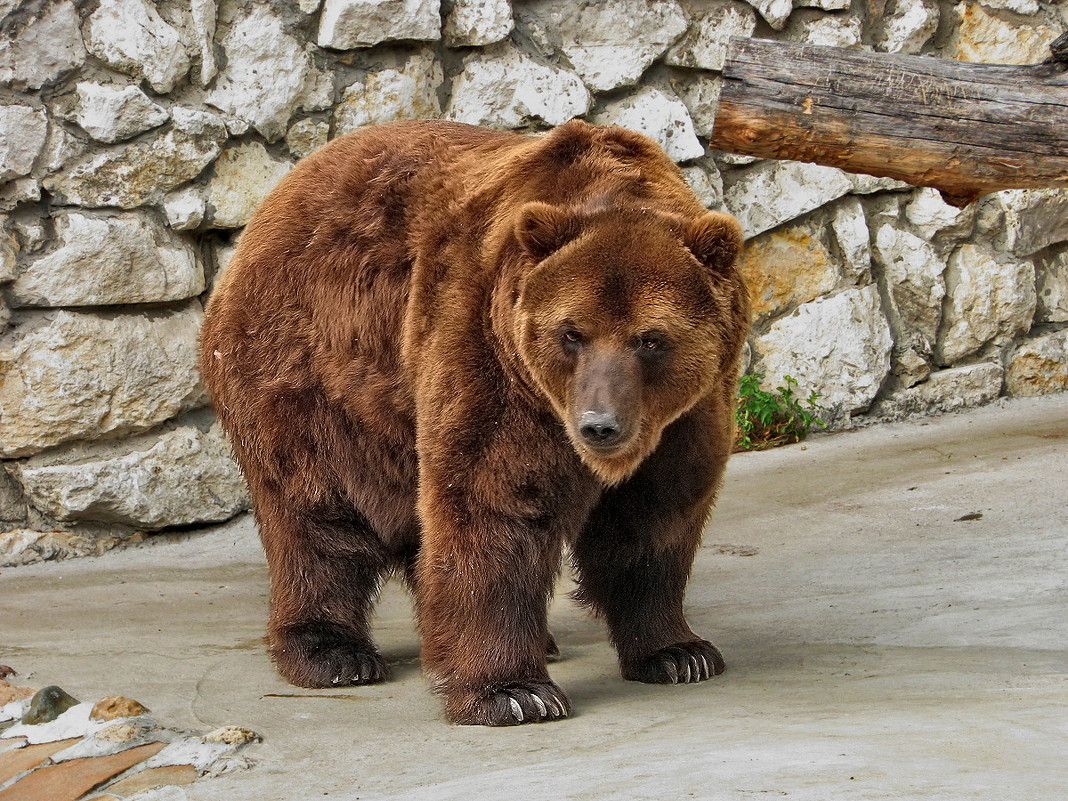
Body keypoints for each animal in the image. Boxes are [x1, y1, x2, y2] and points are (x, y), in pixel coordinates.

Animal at [200, 119, 751, 726]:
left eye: (650, 339)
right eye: (572, 333)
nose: (599, 425)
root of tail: (269, 204)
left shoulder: (686, 413)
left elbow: (656, 513)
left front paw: (679, 652)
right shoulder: (490, 349)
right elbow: (495, 498)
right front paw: (513, 692)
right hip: (309, 370)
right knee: (317, 512)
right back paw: (331, 653)